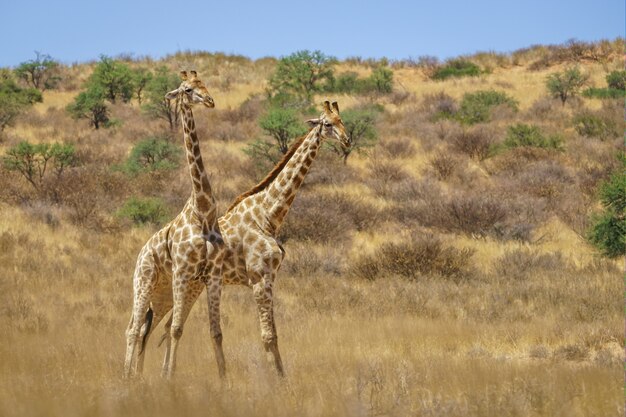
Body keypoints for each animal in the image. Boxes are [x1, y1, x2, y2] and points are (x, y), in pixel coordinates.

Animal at [123, 70, 225, 376]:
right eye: (188, 89)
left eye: (204, 84)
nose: (210, 101)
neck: (203, 212)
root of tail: (141, 253)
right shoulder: (182, 271)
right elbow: (178, 329)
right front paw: (168, 378)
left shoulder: (212, 275)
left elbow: (215, 332)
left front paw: (224, 379)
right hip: (143, 282)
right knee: (133, 329)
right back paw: (126, 377)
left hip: (162, 294)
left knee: (147, 330)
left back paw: (137, 376)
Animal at [217, 100, 348, 374]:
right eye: (327, 124)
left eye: (342, 120)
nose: (347, 140)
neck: (268, 215)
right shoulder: (259, 278)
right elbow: (268, 336)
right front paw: (275, 379)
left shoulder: (271, 278)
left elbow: (274, 334)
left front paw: (282, 377)